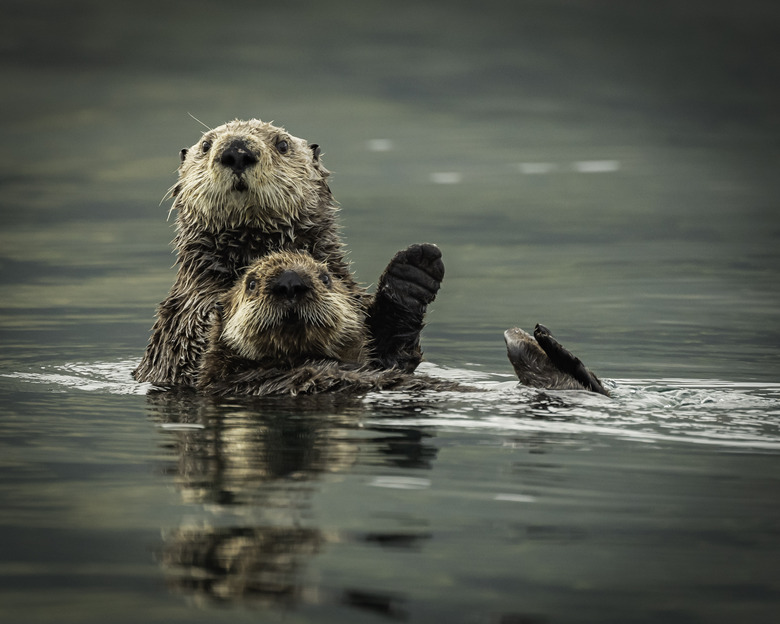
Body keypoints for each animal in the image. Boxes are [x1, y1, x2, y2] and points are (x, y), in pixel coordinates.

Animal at [131, 119, 442, 388]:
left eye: (282, 144)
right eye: (206, 145)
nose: (236, 151)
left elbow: (390, 355)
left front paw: (413, 271)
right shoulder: (184, 319)